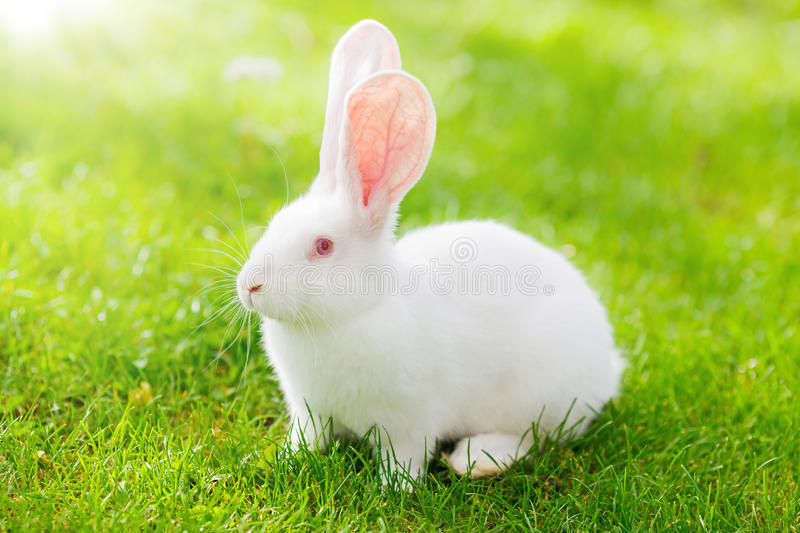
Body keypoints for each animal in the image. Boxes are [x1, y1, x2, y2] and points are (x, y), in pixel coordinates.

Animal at [236, 19, 624, 486]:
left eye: (323, 246)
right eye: (275, 222)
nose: (250, 286)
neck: (352, 314)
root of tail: (607, 367)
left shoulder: (409, 422)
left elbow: (404, 457)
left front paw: (394, 489)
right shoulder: (310, 411)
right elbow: (308, 440)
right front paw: (281, 460)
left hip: (541, 398)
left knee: (536, 436)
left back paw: (476, 459)